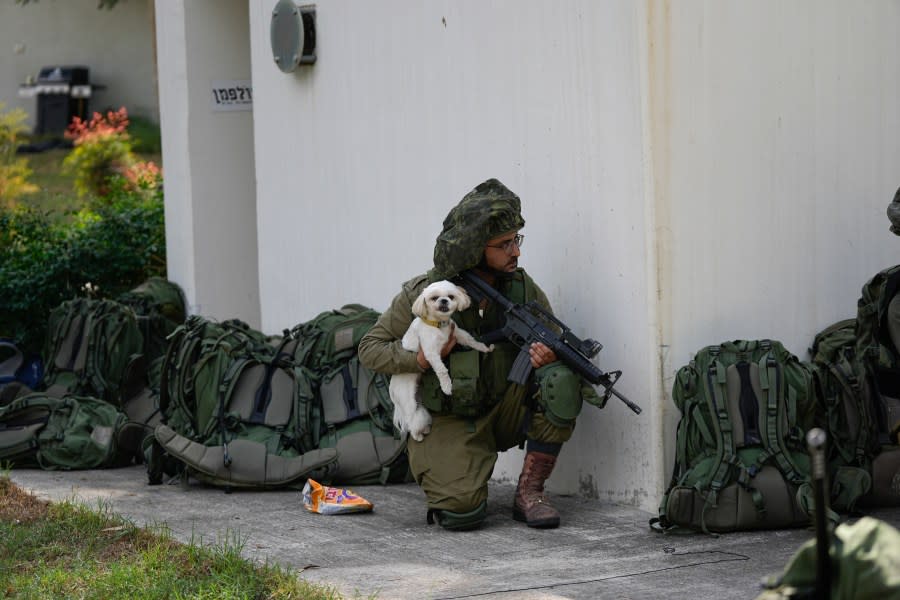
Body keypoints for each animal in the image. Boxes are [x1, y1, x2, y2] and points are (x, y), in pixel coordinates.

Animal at [390, 280, 496, 440]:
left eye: (451, 296)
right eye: (434, 298)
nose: (444, 300)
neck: (438, 325)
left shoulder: (457, 334)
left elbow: (471, 340)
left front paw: (485, 348)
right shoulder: (430, 352)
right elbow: (442, 370)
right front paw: (447, 387)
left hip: (417, 398)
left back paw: (424, 430)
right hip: (407, 399)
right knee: (410, 419)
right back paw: (417, 435)